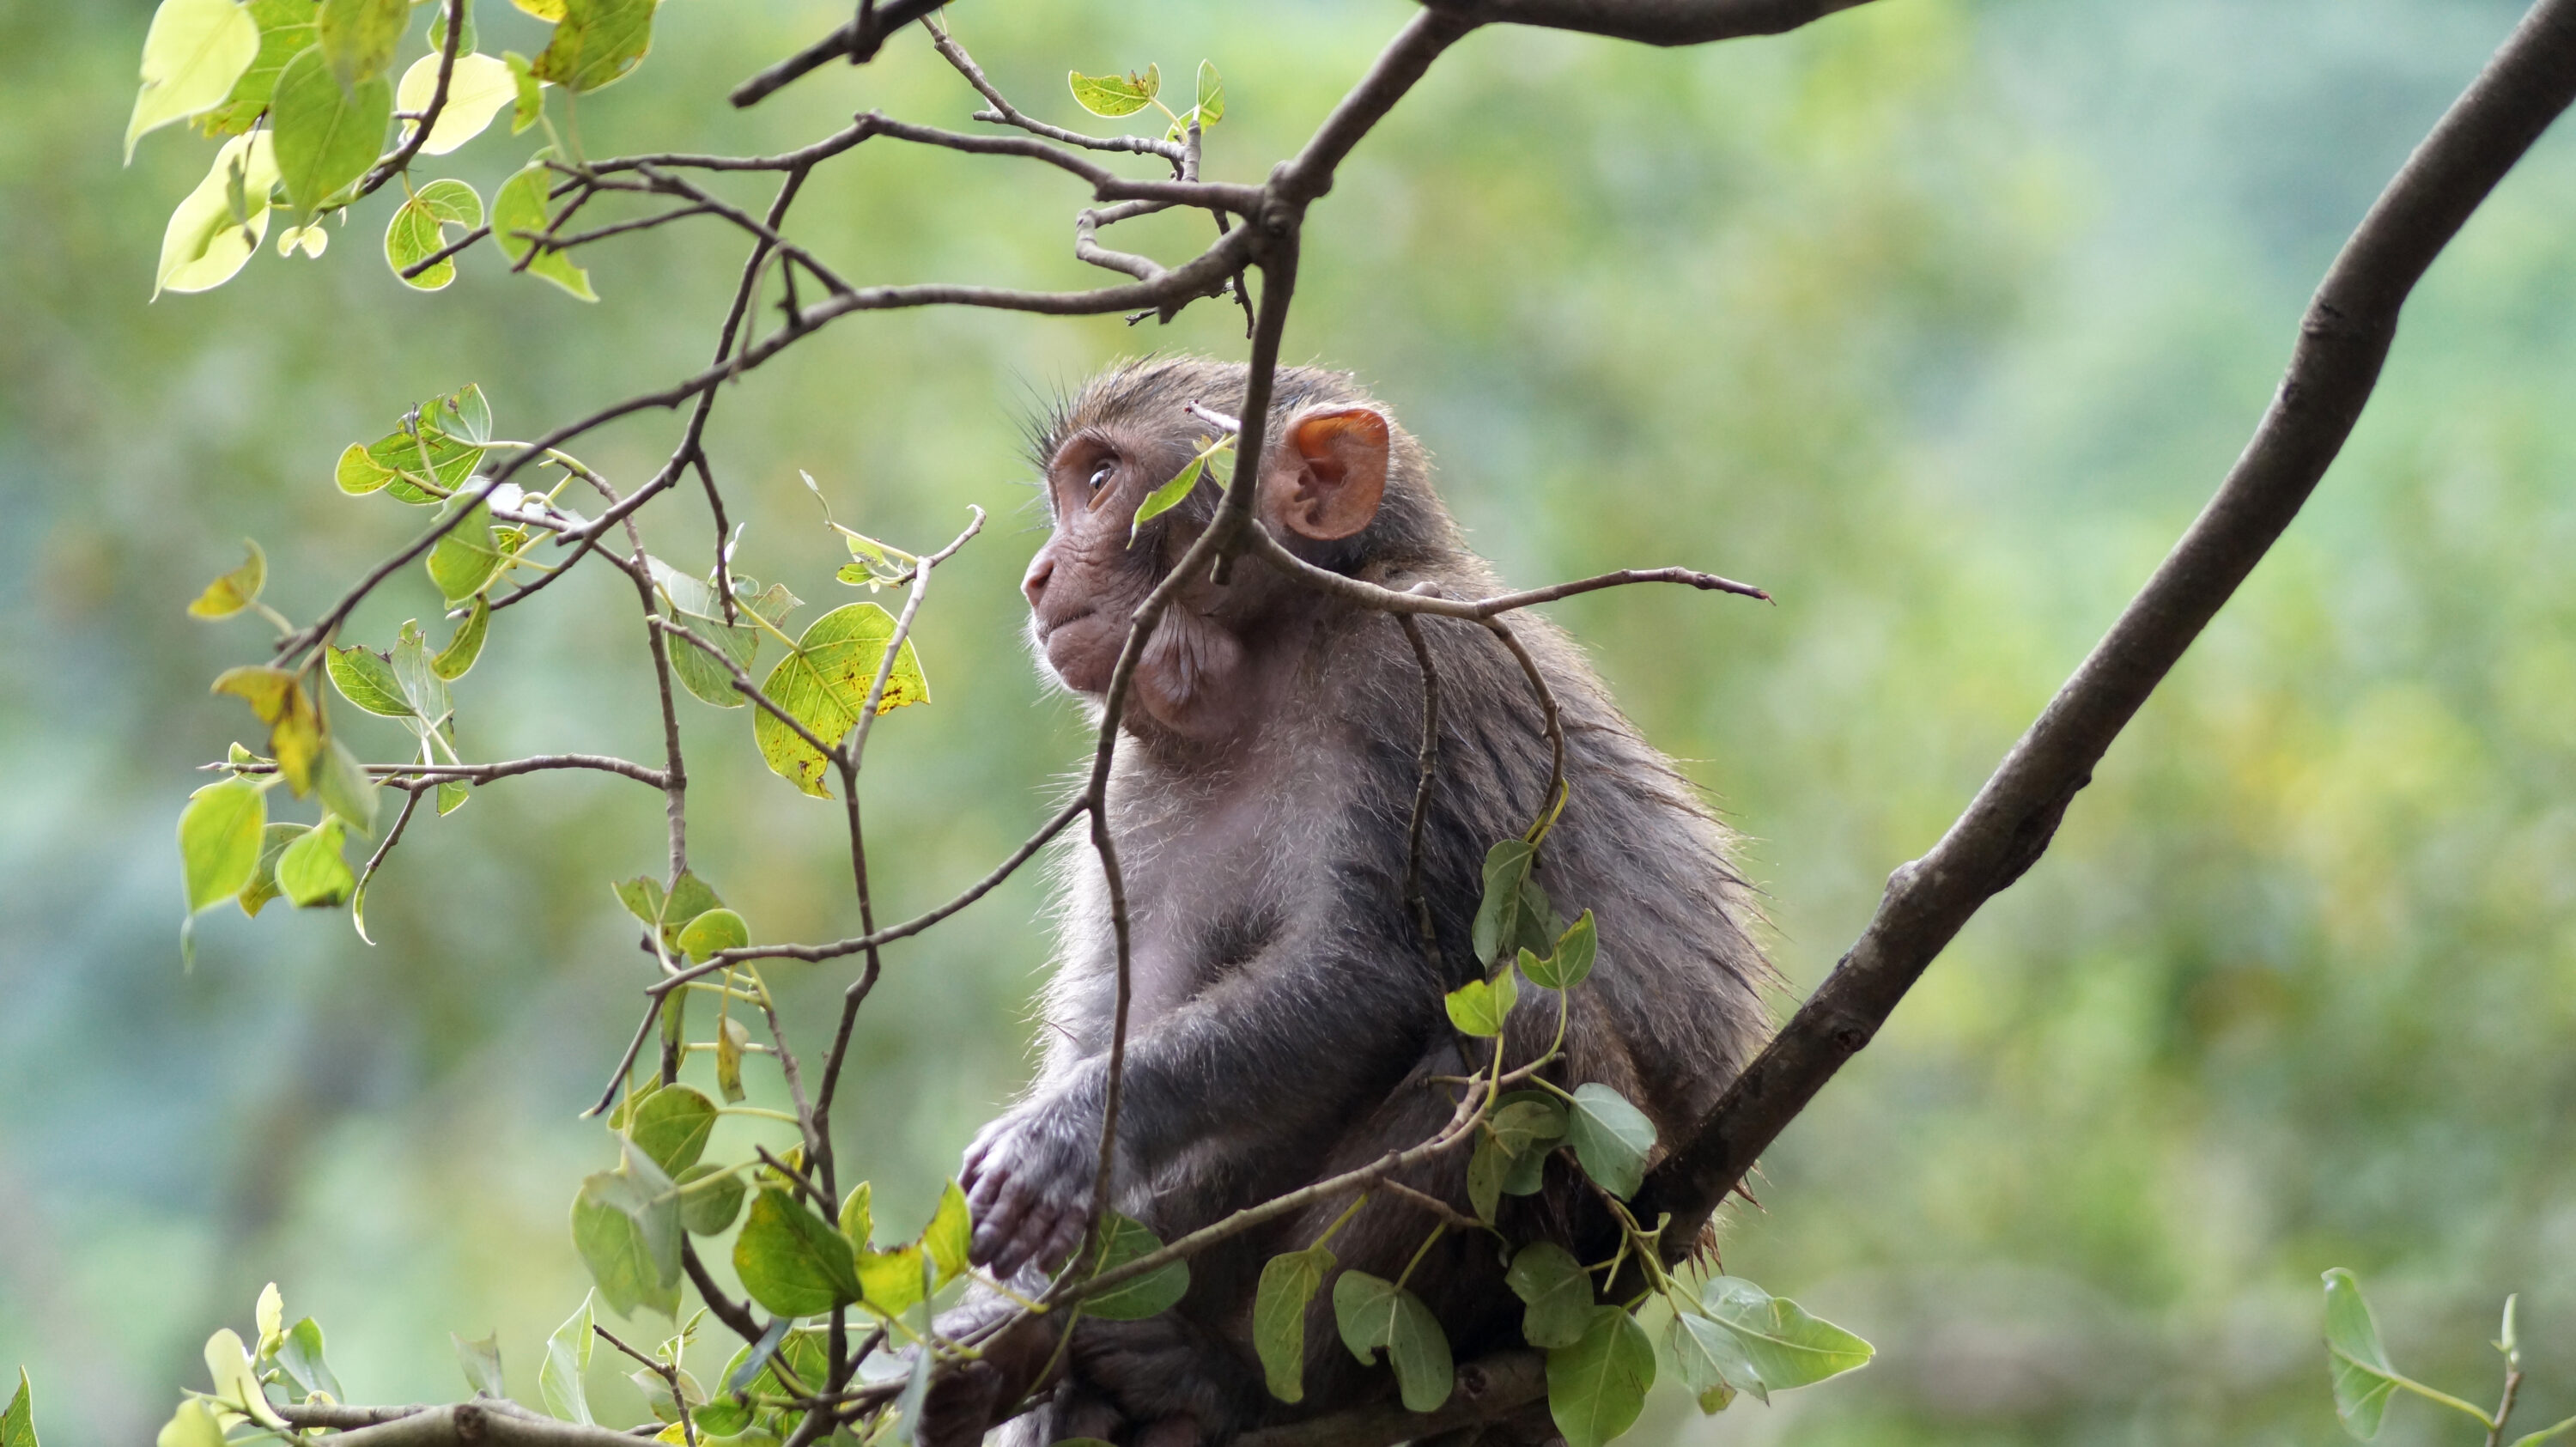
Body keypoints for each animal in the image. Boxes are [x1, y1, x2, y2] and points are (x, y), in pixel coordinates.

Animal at [928, 356, 1771, 1447]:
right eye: (1072, 485)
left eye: (1102, 480)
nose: (1037, 576)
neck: (1272, 660)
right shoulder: (1142, 782)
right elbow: (1132, 1003)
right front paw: (1027, 1289)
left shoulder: (1417, 678)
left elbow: (1383, 969)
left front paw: (1061, 1141)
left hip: (1596, 1246)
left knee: (1522, 1034)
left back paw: (1247, 1379)